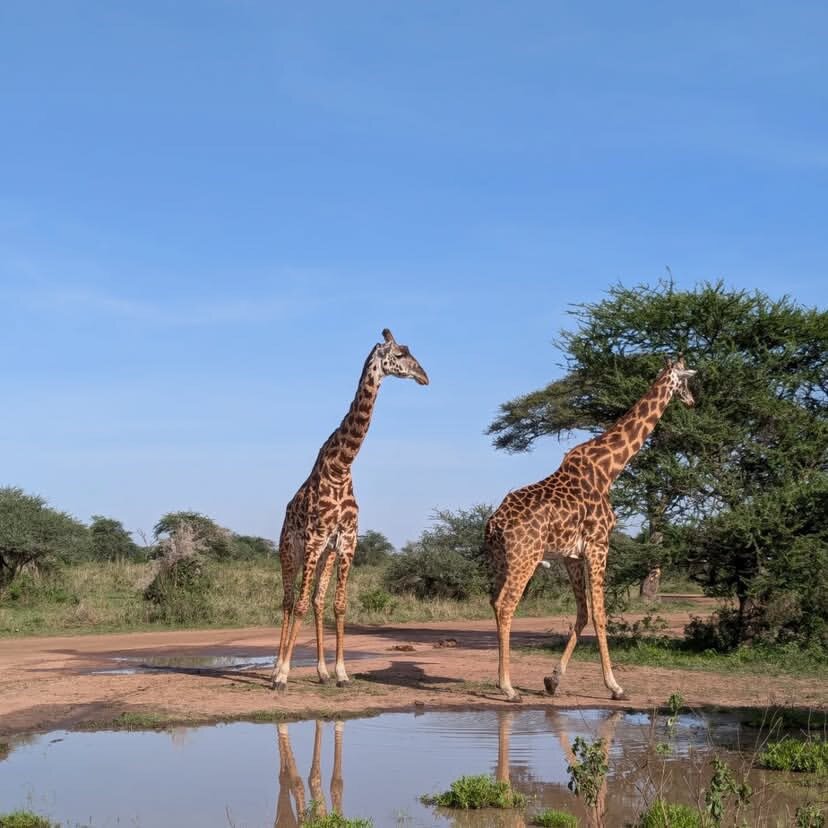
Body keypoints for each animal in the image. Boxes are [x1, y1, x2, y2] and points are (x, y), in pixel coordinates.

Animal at [272, 329, 428, 692]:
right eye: (400, 354)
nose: (424, 377)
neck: (341, 466)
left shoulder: (346, 541)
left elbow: (339, 605)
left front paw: (341, 672)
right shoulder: (315, 538)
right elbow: (299, 605)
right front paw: (283, 675)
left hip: (325, 555)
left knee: (316, 600)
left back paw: (321, 672)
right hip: (291, 550)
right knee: (288, 601)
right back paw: (275, 670)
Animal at [486, 357, 697, 702]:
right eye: (686, 381)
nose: (692, 401)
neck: (608, 469)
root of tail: (494, 524)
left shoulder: (571, 555)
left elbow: (583, 612)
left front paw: (553, 680)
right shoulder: (600, 544)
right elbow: (600, 612)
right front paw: (615, 686)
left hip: (500, 561)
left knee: (493, 601)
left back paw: (499, 680)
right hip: (524, 558)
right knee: (506, 605)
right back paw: (508, 687)